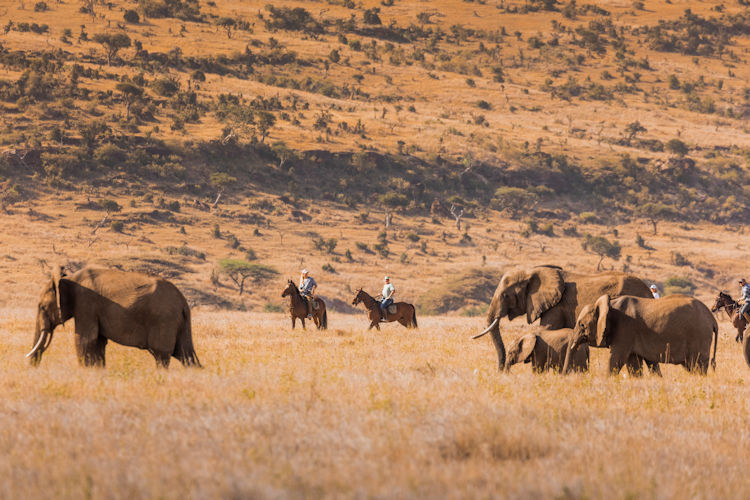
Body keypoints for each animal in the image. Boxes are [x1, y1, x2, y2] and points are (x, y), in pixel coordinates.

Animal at [28, 266, 201, 368]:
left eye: (42, 307)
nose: (33, 367)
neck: (68, 278)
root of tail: (183, 302)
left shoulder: (86, 304)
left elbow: (84, 341)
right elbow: (98, 342)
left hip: (164, 320)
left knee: (162, 356)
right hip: (179, 323)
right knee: (185, 354)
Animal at [472, 265, 654, 370]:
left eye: (506, 296)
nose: (501, 371)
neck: (532, 271)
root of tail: (650, 293)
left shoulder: (556, 306)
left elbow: (547, 329)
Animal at [563, 294, 718, 375]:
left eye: (582, 325)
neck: (610, 304)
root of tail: (712, 319)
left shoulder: (624, 330)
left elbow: (616, 359)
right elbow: (633, 364)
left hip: (699, 335)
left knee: (698, 365)